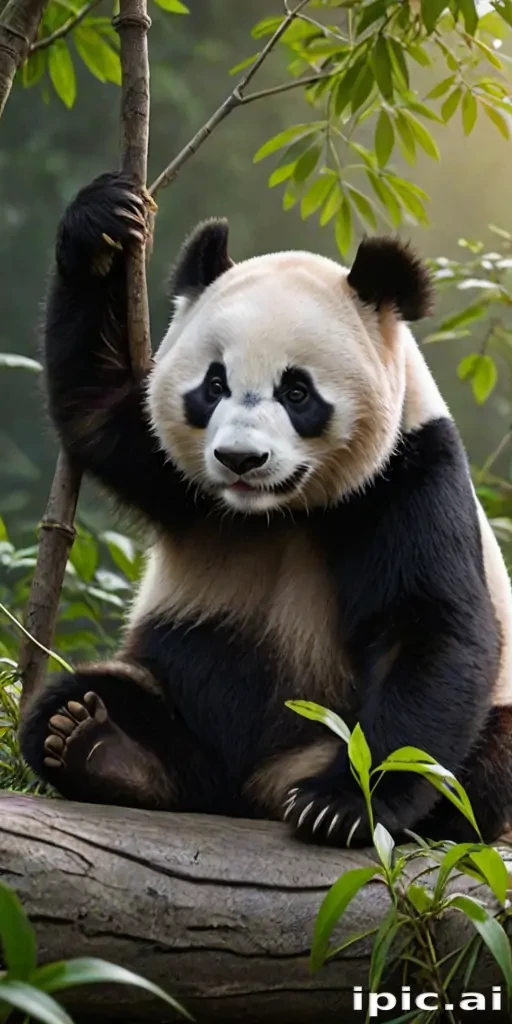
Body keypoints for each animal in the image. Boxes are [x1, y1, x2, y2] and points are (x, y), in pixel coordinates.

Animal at [19, 170, 512, 847]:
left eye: (297, 392)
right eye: (214, 385)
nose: (239, 459)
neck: (281, 508)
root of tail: (247, 793)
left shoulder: (411, 475)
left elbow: (432, 626)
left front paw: (342, 806)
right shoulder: (168, 467)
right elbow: (95, 406)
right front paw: (102, 223)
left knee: (486, 759)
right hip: (172, 700)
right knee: (76, 703)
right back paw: (102, 748)